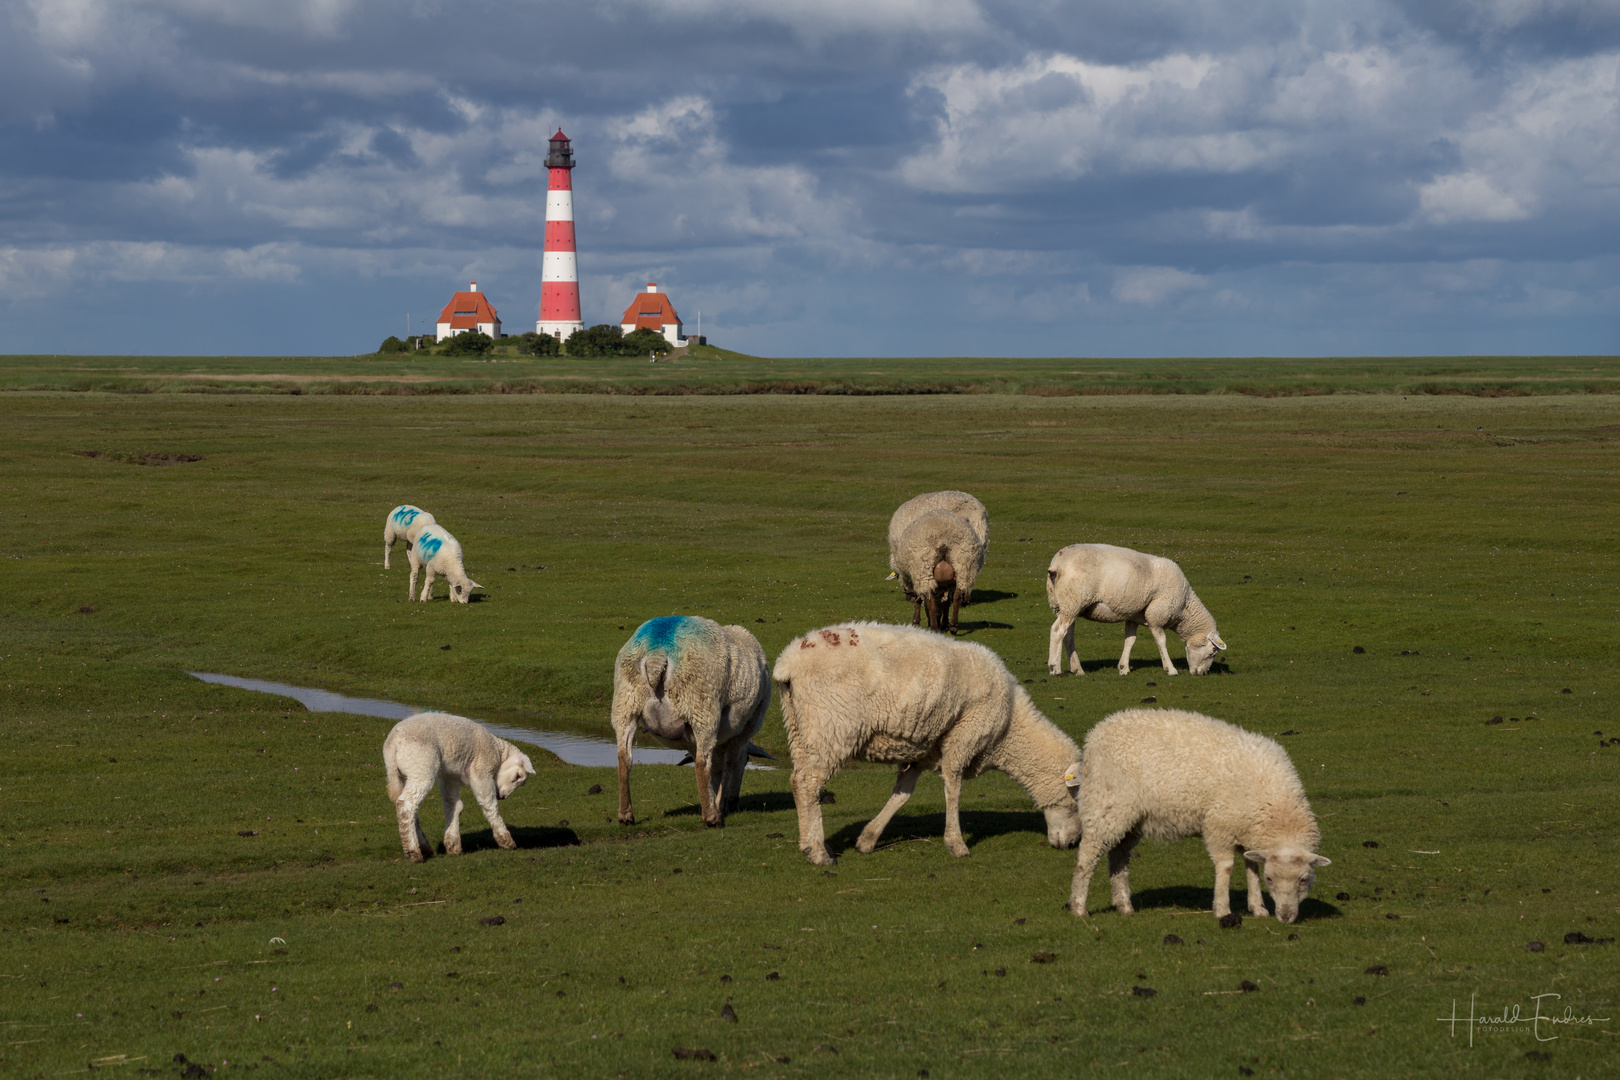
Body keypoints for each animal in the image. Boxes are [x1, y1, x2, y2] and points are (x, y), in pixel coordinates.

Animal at [380, 712, 534, 867]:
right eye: (517, 776)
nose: (502, 796)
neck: (497, 750)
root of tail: (393, 742)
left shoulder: (450, 777)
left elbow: (453, 806)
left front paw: (453, 845)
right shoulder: (482, 770)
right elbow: (490, 805)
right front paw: (506, 841)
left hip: (405, 773)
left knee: (411, 808)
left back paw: (424, 848)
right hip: (421, 766)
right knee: (406, 805)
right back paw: (414, 852)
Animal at [612, 615, 777, 829]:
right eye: (747, 760)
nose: (734, 802)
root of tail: (657, 651)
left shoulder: (689, 739)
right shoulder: (745, 731)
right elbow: (729, 763)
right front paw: (720, 805)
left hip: (626, 703)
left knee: (624, 757)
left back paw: (626, 815)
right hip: (702, 705)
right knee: (701, 762)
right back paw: (712, 818)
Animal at [767, 621, 1075, 867]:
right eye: (1076, 801)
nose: (1072, 844)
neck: (1009, 727)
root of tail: (788, 663)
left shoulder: (923, 751)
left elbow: (902, 795)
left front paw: (868, 839)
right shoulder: (964, 738)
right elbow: (953, 787)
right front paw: (956, 844)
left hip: (800, 728)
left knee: (797, 781)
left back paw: (811, 844)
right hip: (830, 727)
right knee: (808, 783)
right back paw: (818, 852)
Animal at [1043, 550, 1218, 676]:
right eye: (1212, 653)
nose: (1203, 673)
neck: (1185, 607)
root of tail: (1057, 564)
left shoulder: (1134, 616)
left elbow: (1130, 640)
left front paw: (1124, 668)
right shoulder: (1156, 616)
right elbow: (1161, 641)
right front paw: (1170, 669)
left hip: (1067, 606)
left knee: (1068, 636)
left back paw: (1077, 670)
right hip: (1073, 601)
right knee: (1057, 630)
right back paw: (1054, 668)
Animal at [1062, 709, 1328, 932]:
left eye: (1304, 879)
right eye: (1271, 879)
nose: (1285, 917)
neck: (1275, 806)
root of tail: (1096, 733)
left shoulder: (1246, 829)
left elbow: (1251, 868)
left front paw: (1258, 908)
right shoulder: (1219, 825)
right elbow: (1226, 867)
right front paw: (1222, 909)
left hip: (1131, 818)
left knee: (1118, 857)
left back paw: (1124, 905)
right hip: (1107, 805)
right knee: (1087, 857)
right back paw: (1079, 907)